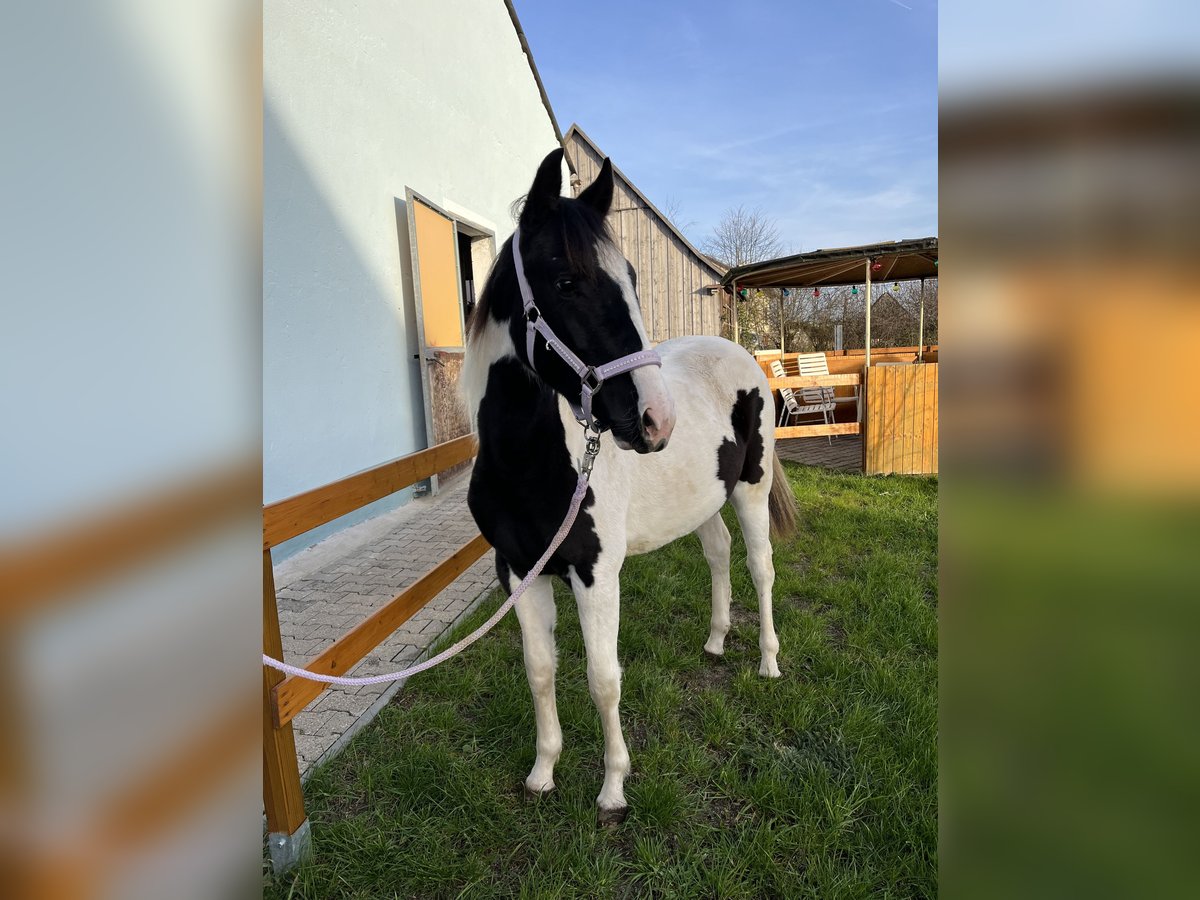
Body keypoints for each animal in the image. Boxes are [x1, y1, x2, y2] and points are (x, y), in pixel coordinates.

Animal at [460, 148, 796, 825]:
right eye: (567, 282)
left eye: (634, 280)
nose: (655, 419)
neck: (528, 463)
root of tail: (744, 355)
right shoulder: (518, 571)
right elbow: (540, 670)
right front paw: (543, 772)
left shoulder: (595, 573)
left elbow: (602, 676)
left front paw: (613, 787)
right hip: (703, 501)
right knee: (718, 554)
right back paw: (716, 641)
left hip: (750, 490)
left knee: (759, 567)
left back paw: (769, 661)